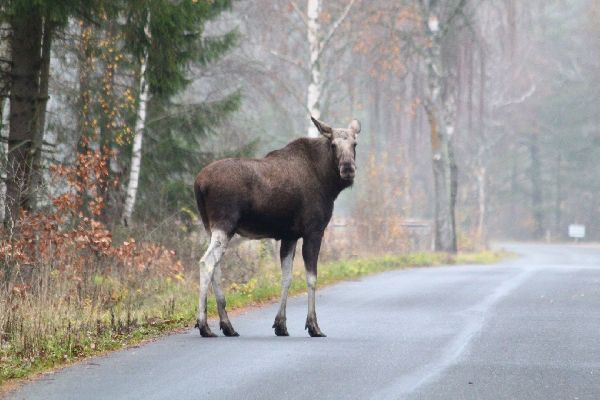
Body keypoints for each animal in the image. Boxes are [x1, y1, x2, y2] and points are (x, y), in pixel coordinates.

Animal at [195, 116, 360, 338]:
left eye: (354, 144)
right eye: (333, 144)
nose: (348, 168)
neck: (327, 182)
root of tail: (198, 184)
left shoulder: (289, 235)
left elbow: (286, 277)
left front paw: (281, 324)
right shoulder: (314, 231)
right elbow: (311, 278)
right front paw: (313, 326)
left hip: (210, 227)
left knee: (216, 267)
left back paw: (227, 325)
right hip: (225, 223)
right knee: (207, 263)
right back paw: (204, 325)